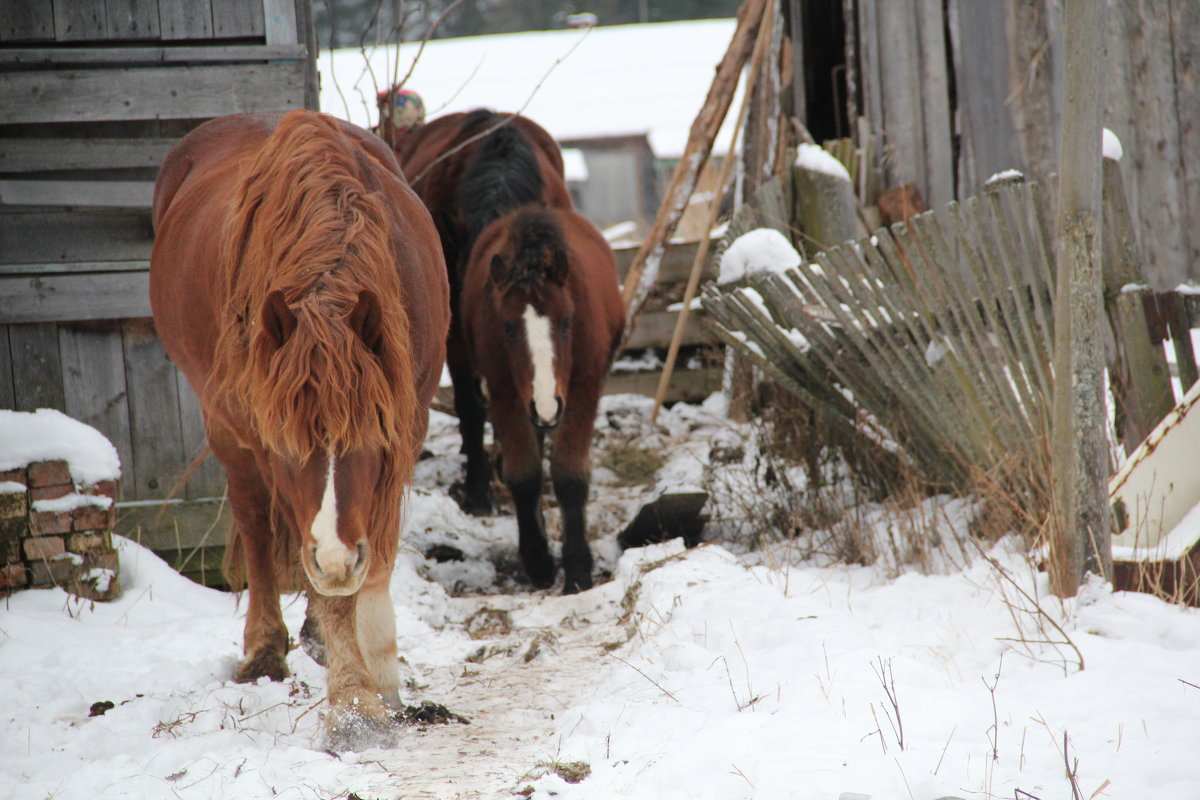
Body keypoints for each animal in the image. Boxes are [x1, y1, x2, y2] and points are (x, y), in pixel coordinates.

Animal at [150, 109, 451, 748]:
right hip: (225, 428)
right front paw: (355, 707)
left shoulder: (407, 422)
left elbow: (376, 558)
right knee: (257, 527)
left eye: (368, 436)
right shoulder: (265, 444)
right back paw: (265, 649)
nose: (336, 559)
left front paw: (382, 675)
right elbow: (322, 580)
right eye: (290, 446)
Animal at [403, 109, 628, 592]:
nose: (545, 403)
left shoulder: (581, 386)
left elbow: (569, 474)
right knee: (474, 409)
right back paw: (479, 487)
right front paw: (539, 558)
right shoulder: (497, 374)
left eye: (567, 322)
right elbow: (519, 467)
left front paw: (577, 566)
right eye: (507, 328)